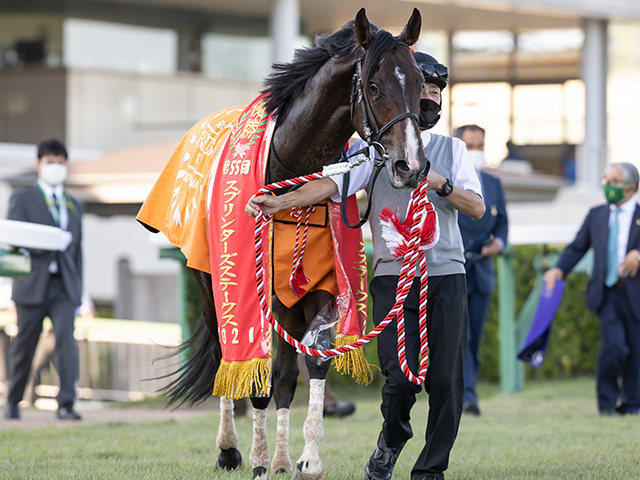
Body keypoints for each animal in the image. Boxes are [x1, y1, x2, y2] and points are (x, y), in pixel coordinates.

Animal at [152, 7, 428, 480]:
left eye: (415, 79)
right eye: (374, 85)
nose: (409, 165)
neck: (291, 175)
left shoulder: (321, 286)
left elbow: (311, 360)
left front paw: (306, 458)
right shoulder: (252, 293)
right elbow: (254, 374)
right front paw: (258, 459)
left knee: (284, 370)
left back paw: (280, 457)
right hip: (211, 287)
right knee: (226, 355)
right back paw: (230, 449)